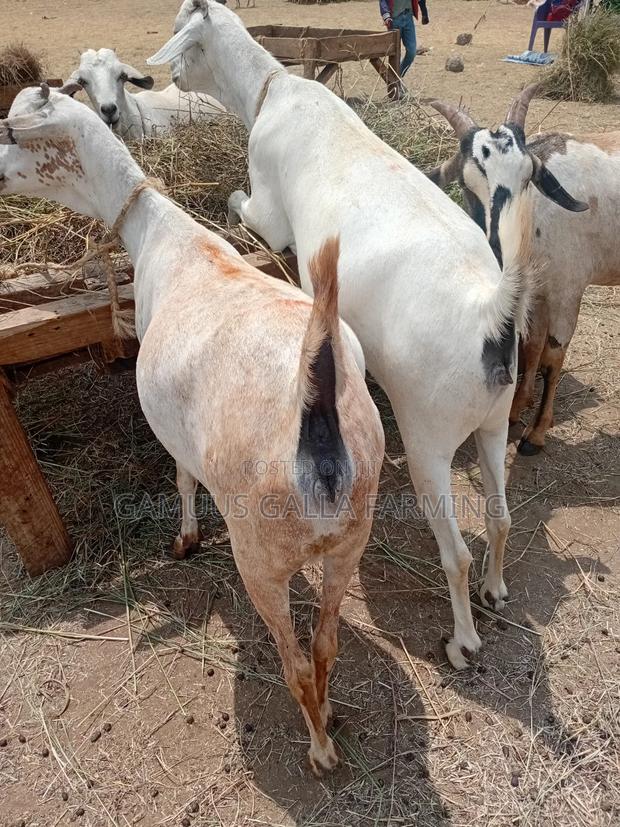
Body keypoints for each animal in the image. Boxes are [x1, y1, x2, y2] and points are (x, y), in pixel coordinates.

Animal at [0, 84, 384, 773]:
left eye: (15, 132)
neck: (166, 238)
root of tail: (315, 415)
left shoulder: (172, 428)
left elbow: (180, 477)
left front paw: (183, 540)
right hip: (351, 539)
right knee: (326, 645)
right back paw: (332, 716)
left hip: (261, 555)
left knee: (294, 662)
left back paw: (319, 751)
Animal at [148, 0, 586, 669]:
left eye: (182, 33)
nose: (169, 80)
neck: (272, 90)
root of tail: (492, 311)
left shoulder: (271, 215)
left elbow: (241, 206)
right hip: (492, 419)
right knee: (502, 517)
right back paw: (495, 589)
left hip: (429, 438)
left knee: (456, 549)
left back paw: (463, 640)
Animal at [429, 85, 618, 454]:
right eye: (466, 185)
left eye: (527, 179)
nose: (499, 248)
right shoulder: (536, 294)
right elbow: (531, 349)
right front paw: (516, 410)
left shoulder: (566, 292)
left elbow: (553, 357)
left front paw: (537, 432)